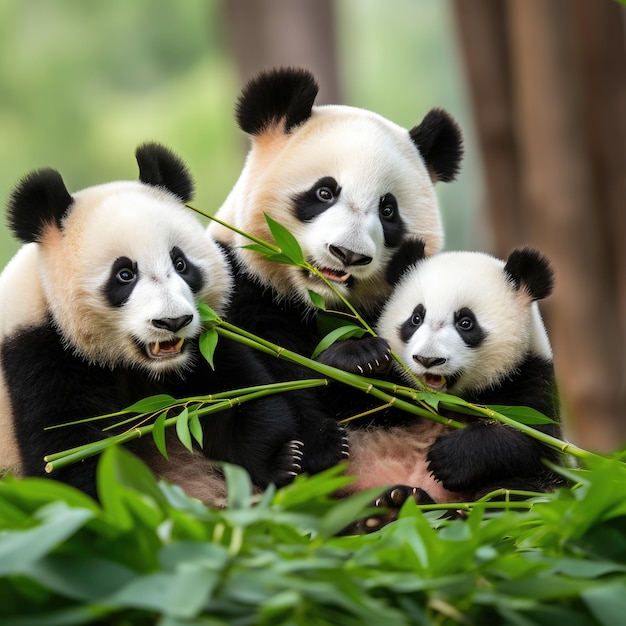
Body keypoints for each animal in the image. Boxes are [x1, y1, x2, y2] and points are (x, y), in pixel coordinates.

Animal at [0, 143, 302, 502]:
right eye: (124, 274)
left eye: (180, 263)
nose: (173, 321)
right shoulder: (38, 353)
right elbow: (69, 451)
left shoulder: (204, 344)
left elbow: (232, 396)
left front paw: (283, 459)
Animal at [210, 68, 464, 472]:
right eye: (325, 193)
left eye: (388, 210)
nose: (347, 254)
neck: (319, 304)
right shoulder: (241, 286)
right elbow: (274, 375)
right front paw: (317, 444)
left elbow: (413, 400)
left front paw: (366, 361)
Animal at [334, 247, 564, 520]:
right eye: (416, 318)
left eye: (466, 322)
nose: (428, 359)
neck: (443, 402)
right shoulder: (393, 391)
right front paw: (361, 357)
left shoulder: (530, 377)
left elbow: (536, 444)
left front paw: (450, 458)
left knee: (515, 492)